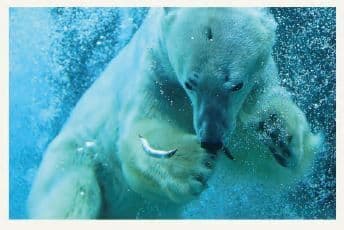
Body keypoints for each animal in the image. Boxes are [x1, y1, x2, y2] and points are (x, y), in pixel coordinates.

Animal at [27, 7, 322, 219]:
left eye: (235, 84)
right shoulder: (154, 74)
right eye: (190, 83)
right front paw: (195, 166)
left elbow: (256, 150)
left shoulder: (249, 91)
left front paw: (280, 136)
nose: (211, 140)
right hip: (74, 161)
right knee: (74, 198)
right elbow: (140, 131)